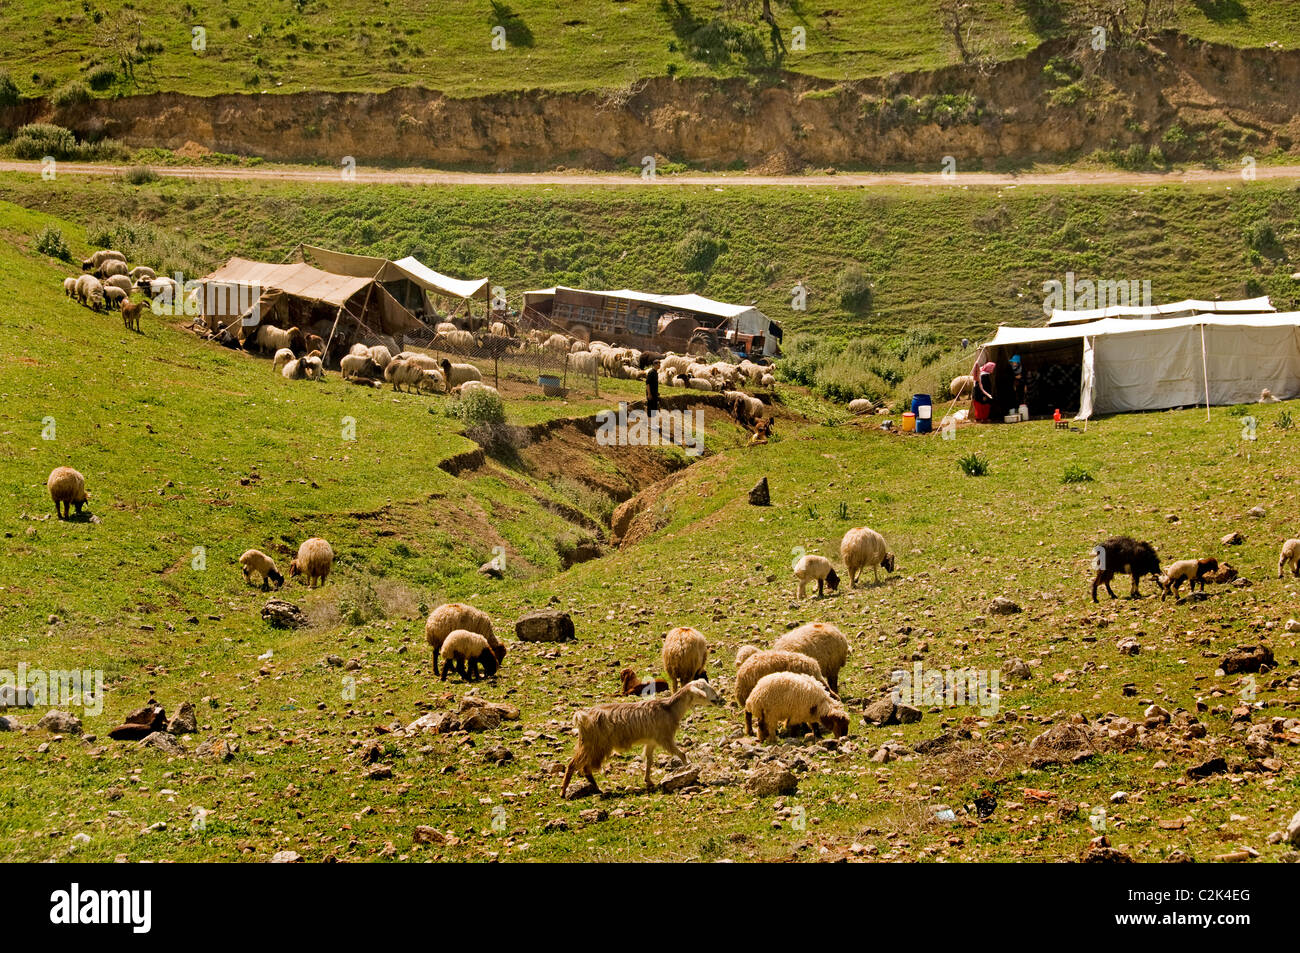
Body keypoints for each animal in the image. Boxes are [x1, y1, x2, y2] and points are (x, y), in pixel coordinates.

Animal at [556, 676, 728, 795]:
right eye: (704, 689)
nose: (719, 699)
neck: (669, 709)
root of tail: (582, 716)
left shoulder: (652, 741)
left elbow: (649, 760)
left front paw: (648, 780)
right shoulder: (665, 738)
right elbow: (682, 754)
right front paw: (691, 772)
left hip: (589, 744)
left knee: (584, 767)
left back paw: (596, 788)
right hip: (594, 744)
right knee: (574, 765)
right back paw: (564, 792)